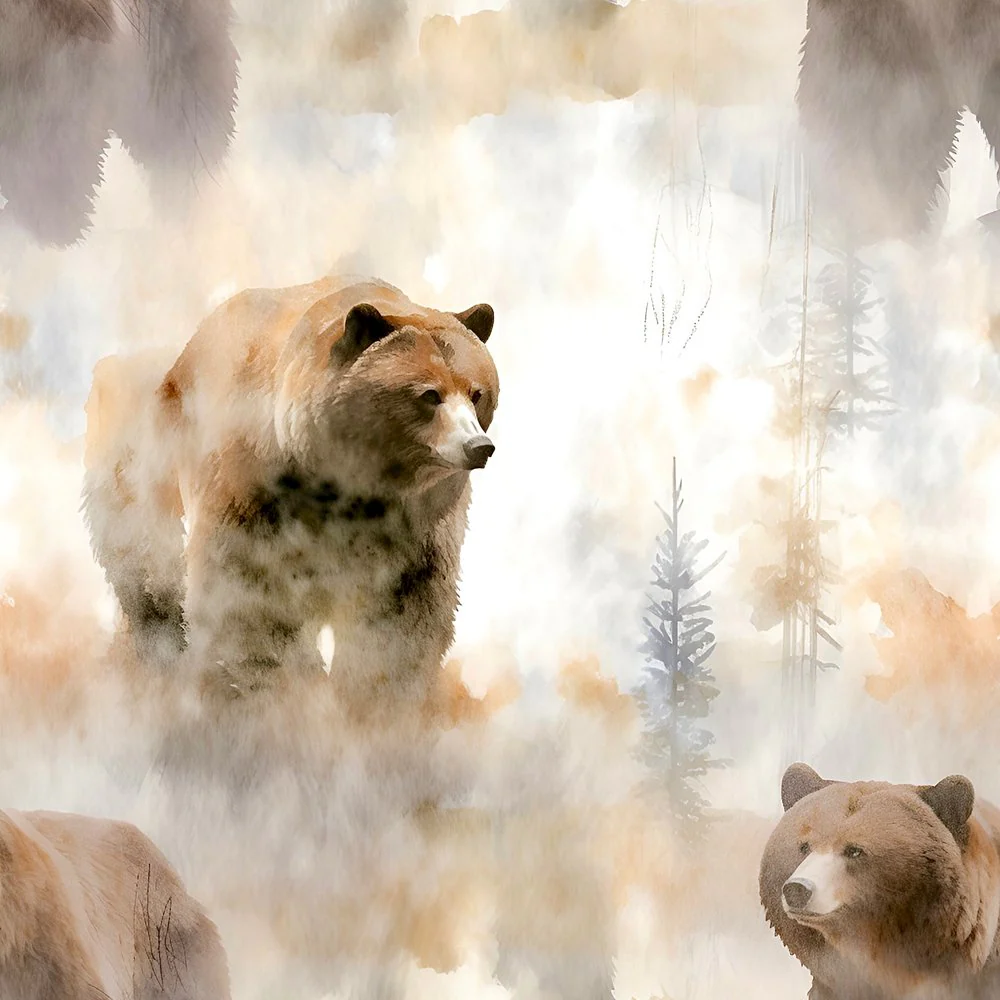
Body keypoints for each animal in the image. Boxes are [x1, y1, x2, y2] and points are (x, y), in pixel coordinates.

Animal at [82, 275, 499, 716]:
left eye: (477, 393)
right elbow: (251, 598)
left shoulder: (416, 527)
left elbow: (403, 611)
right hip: (141, 462)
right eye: (429, 394)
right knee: (149, 569)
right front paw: (270, 692)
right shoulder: (255, 489)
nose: (479, 446)